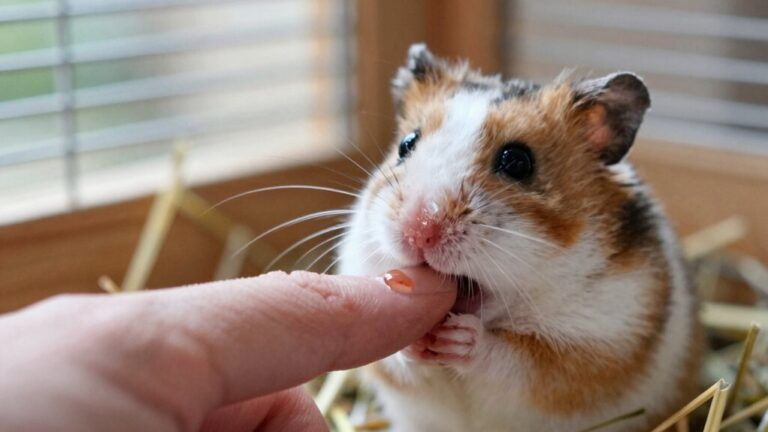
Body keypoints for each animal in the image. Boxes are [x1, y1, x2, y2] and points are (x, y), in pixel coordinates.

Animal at [337, 43, 700, 432]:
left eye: (517, 161)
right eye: (406, 144)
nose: (418, 230)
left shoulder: (596, 344)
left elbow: (517, 361)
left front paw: (461, 338)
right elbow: (397, 362)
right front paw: (415, 341)